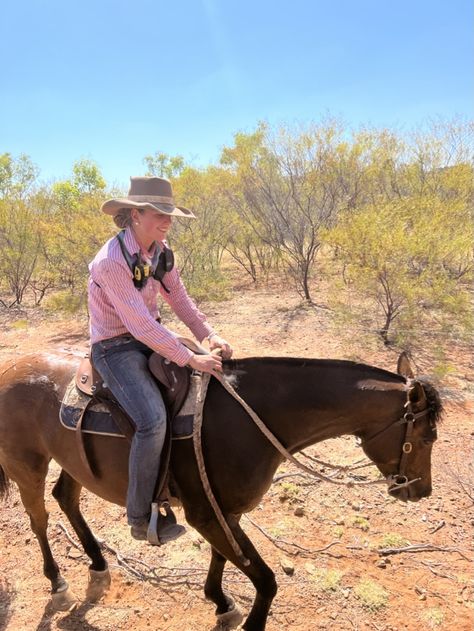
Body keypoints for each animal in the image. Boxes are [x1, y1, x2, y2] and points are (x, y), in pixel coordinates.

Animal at [0, 354, 440, 628]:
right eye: (426, 437)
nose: (421, 491)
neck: (252, 420)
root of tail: (10, 367)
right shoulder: (206, 514)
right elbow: (265, 580)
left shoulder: (224, 512)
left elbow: (223, 558)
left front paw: (220, 601)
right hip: (27, 465)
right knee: (38, 518)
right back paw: (57, 581)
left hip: (72, 460)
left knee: (66, 498)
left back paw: (96, 562)